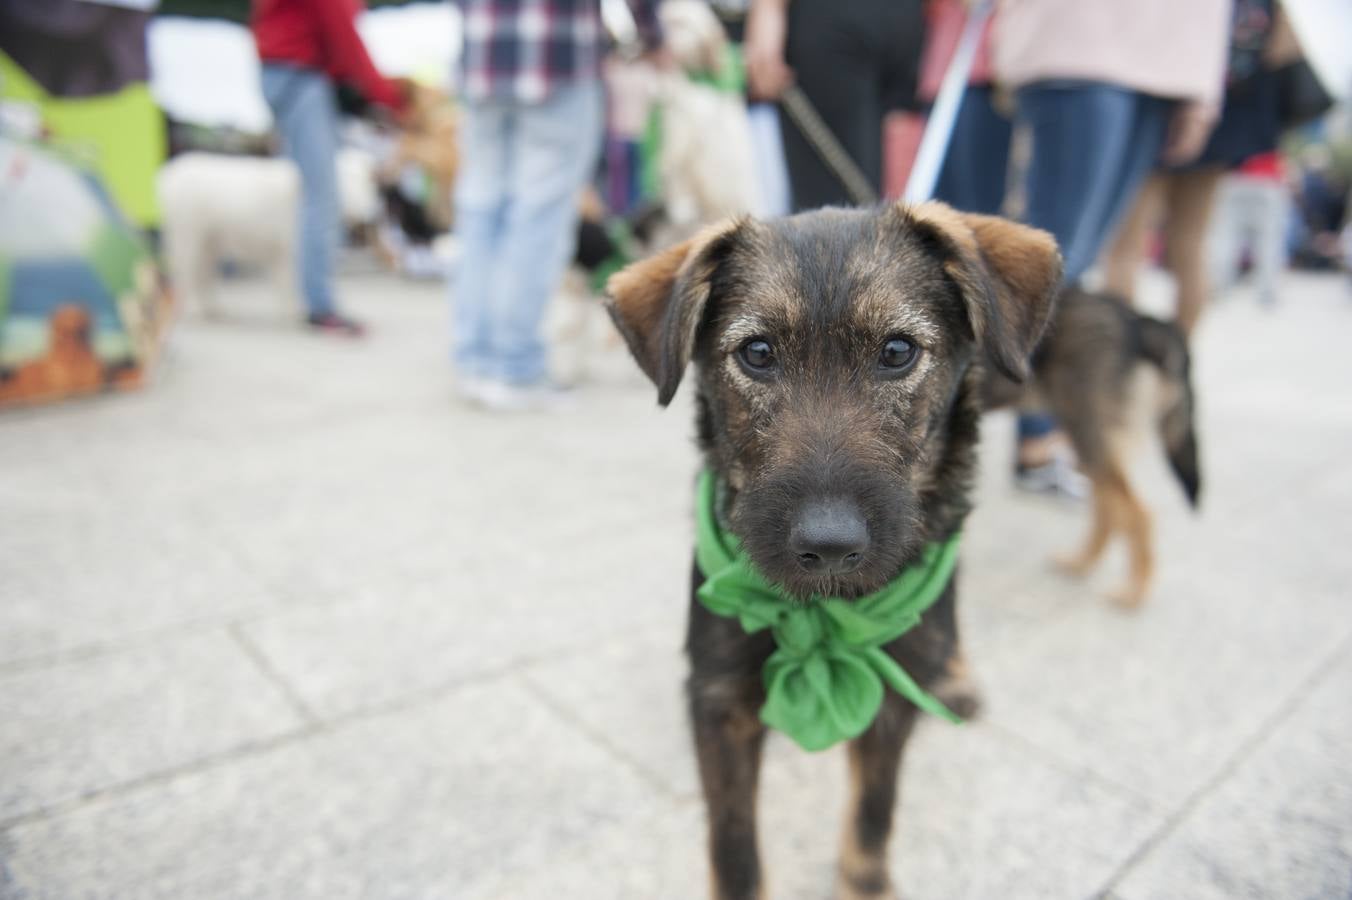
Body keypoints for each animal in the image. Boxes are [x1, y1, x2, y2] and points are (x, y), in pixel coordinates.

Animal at [160, 153, 378, 318]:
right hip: (187, 233)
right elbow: (290, 281)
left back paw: (213, 308)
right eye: (347, 180)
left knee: (203, 273)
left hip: (209, 240)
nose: (370, 214)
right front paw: (294, 310)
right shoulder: (290, 246)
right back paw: (193, 308)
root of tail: (166, 176)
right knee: (185, 272)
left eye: (367, 182)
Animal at [608, 202, 1059, 897]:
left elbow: (875, 809)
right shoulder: (719, 701)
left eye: (898, 351)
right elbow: (733, 843)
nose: (828, 544)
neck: (822, 615)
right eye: (757, 353)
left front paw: (863, 879)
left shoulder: (890, 700)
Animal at [984, 287, 1205, 605]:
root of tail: (1136, 320)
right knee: (1108, 509)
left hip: (1091, 436)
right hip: (1087, 440)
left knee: (1137, 514)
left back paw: (1133, 592)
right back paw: (1081, 563)